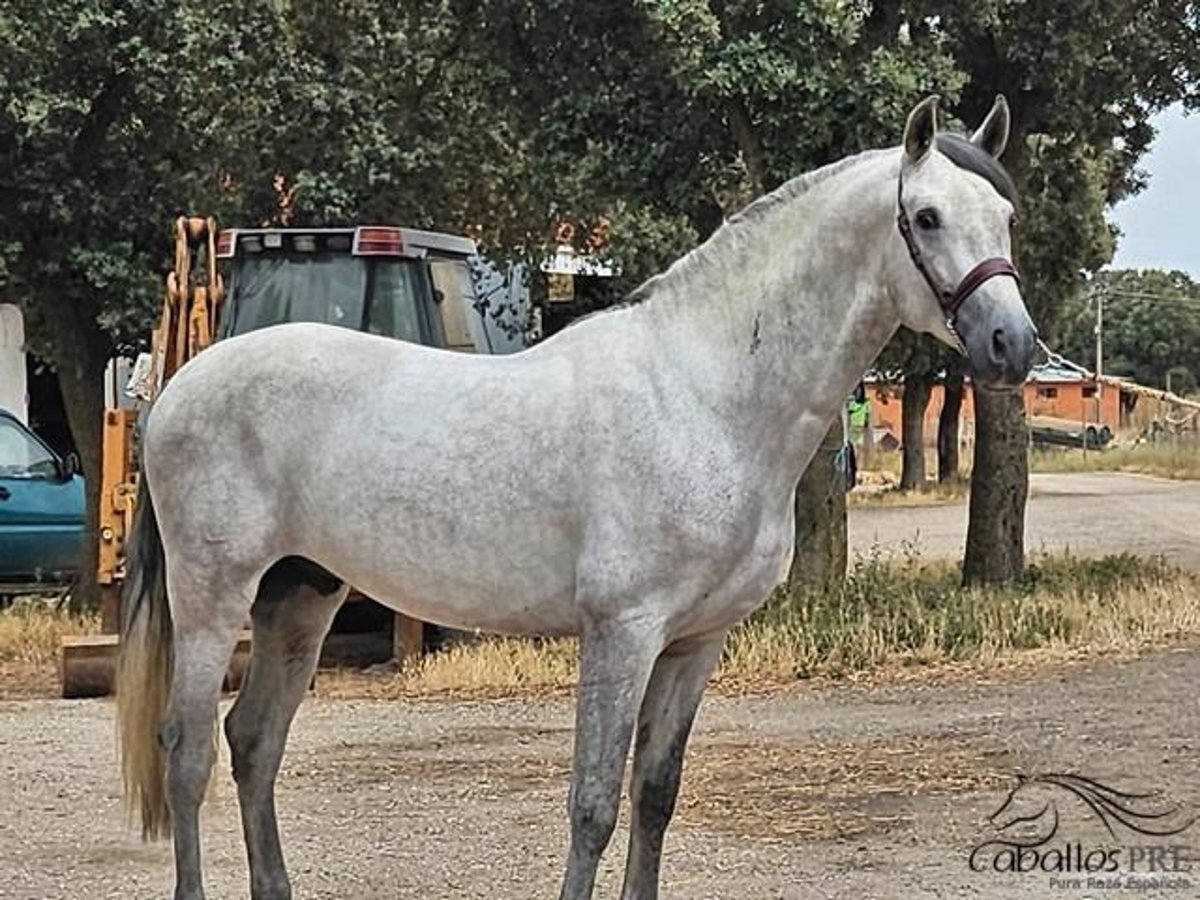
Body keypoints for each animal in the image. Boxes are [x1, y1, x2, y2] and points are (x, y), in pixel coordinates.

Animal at [119, 95, 1041, 897]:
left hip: (301, 594)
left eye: (1005, 217)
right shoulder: (622, 632)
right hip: (212, 595)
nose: (1013, 345)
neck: (702, 394)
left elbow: (654, 796)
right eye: (927, 217)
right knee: (188, 752)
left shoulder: (695, 642)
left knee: (253, 742)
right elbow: (592, 806)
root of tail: (177, 387)